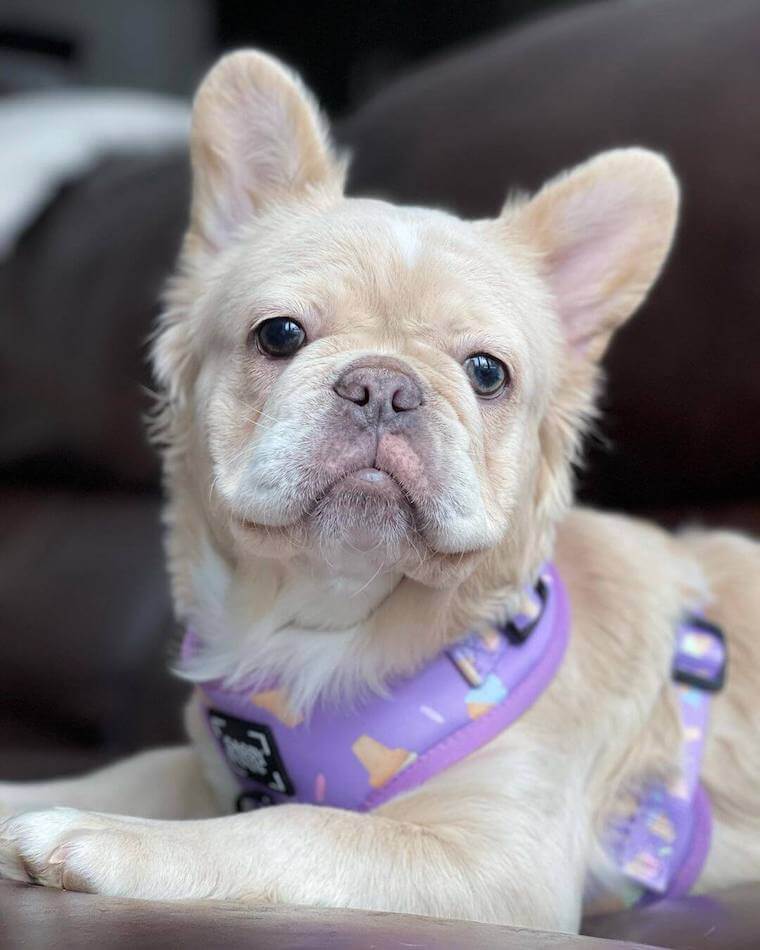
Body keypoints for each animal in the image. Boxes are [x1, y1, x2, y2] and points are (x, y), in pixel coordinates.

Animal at [1, 48, 760, 932]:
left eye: (487, 373)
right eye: (279, 335)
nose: (386, 386)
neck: (324, 624)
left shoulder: (497, 862)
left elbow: (298, 828)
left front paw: (106, 836)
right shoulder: (204, 769)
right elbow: (136, 769)